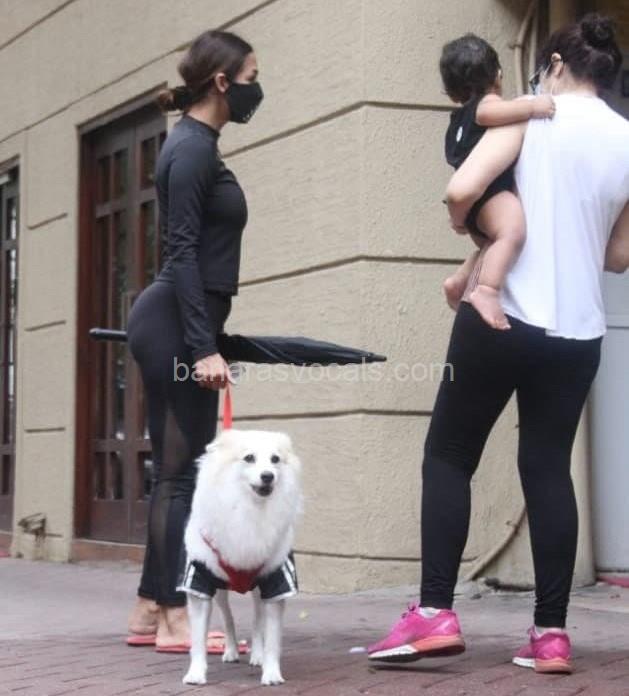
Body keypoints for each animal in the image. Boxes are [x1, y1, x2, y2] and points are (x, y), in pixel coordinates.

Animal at [179, 428, 302, 687]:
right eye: (249, 458)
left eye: (275, 459)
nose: (268, 476)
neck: (250, 509)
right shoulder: (199, 581)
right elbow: (198, 639)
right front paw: (196, 673)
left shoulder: (275, 582)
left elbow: (272, 639)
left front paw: (271, 673)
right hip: (220, 592)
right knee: (228, 618)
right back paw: (232, 650)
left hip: (258, 590)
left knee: (257, 620)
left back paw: (256, 655)